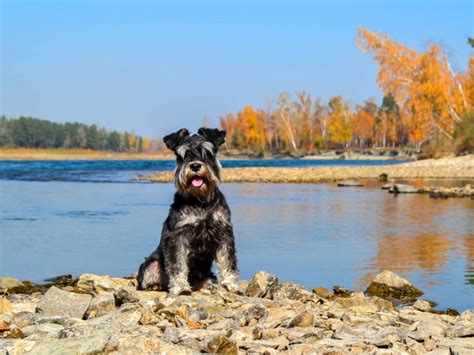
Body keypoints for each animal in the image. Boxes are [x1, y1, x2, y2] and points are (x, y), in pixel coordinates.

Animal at [137, 129, 241, 296]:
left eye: (207, 152)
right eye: (184, 154)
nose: (196, 166)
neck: (200, 201)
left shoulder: (224, 232)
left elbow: (228, 259)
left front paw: (231, 284)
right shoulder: (178, 236)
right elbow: (177, 263)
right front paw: (180, 288)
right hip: (152, 264)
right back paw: (155, 286)